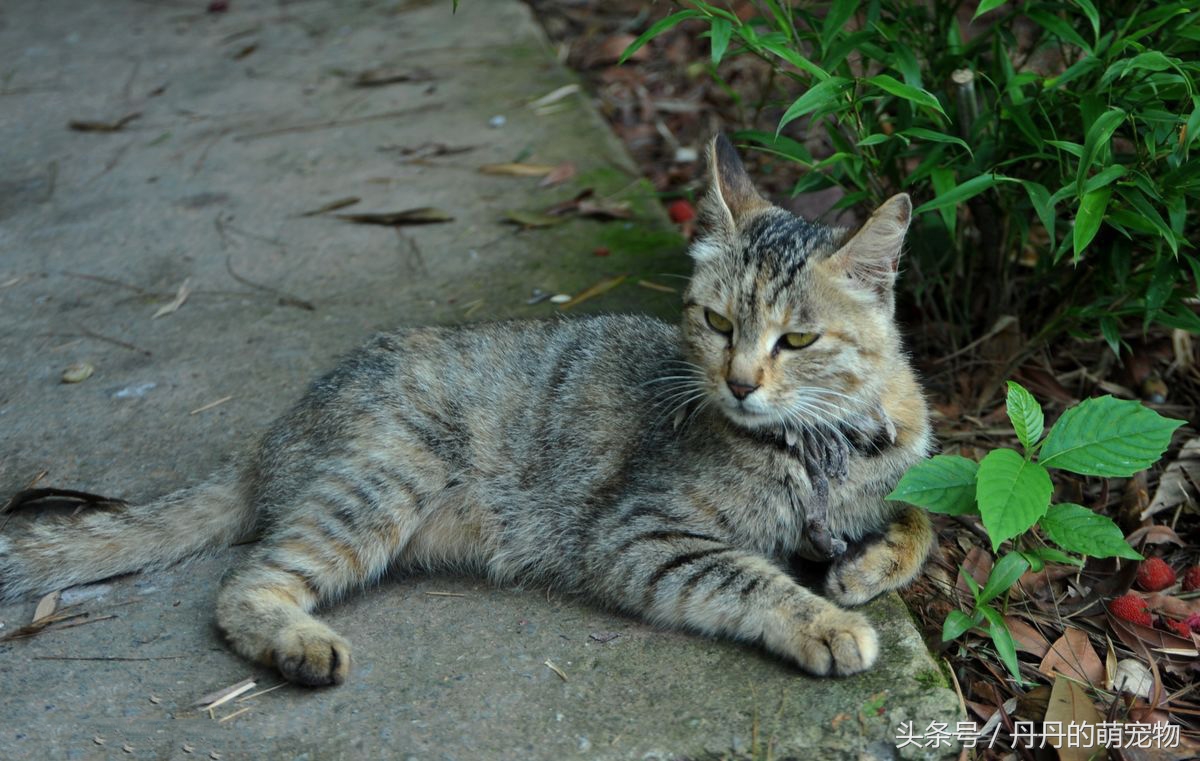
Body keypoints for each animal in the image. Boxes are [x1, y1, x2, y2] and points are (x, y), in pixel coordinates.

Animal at [0, 135, 936, 681]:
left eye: (797, 339)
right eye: (716, 323)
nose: (739, 382)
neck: (820, 445)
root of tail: (270, 436)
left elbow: (922, 515)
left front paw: (864, 564)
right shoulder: (639, 535)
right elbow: (749, 575)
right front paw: (824, 618)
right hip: (383, 483)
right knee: (244, 582)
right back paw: (298, 643)